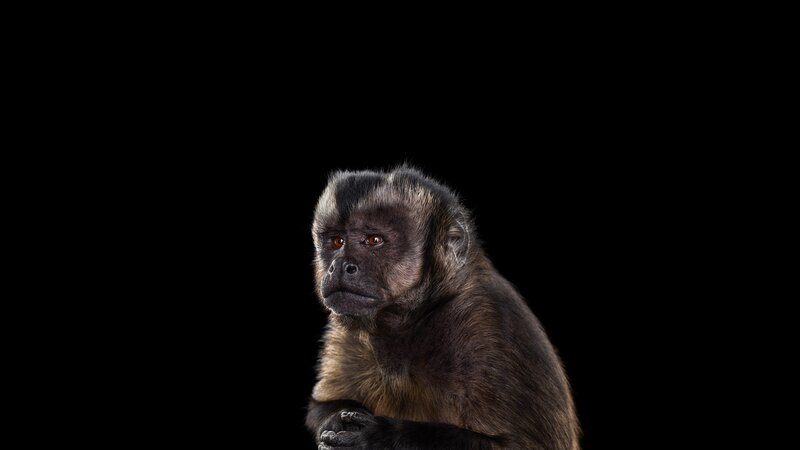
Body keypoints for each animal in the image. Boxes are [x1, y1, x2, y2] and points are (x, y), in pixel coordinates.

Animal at [306, 166, 579, 450]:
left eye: (373, 240)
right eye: (336, 242)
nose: (339, 265)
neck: (413, 320)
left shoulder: (491, 327)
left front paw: (379, 436)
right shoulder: (345, 335)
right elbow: (321, 407)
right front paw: (334, 420)